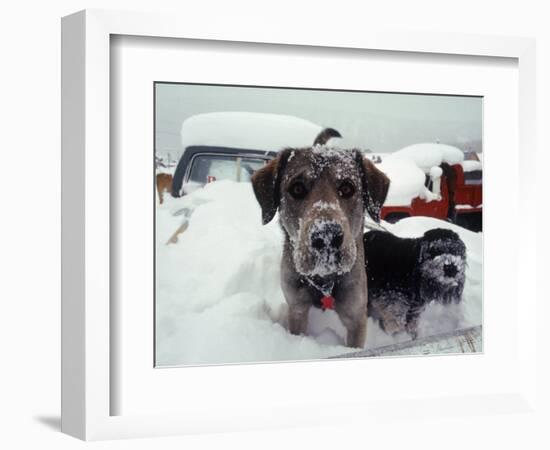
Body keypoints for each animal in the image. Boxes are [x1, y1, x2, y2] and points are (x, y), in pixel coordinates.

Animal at [252, 129, 390, 348]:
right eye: (297, 188)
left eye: (347, 188)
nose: (326, 236)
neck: (324, 279)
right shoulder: (297, 307)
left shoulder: (356, 315)